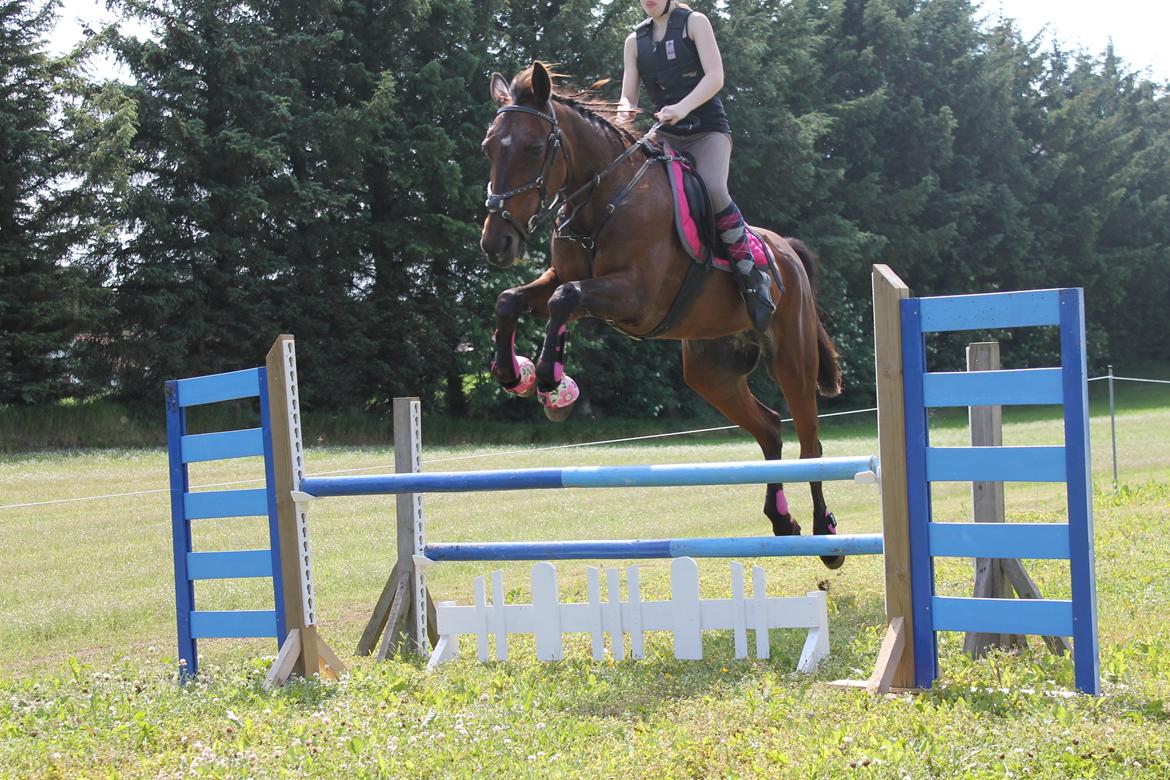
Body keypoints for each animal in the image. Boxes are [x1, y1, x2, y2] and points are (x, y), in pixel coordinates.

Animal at [479, 62, 847, 568]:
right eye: (489, 148)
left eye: (535, 148)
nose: (497, 243)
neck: (605, 197)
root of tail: (786, 251)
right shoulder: (562, 277)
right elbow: (513, 299)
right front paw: (515, 374)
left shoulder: (637, 297)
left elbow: (564, 299)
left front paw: (553, 382)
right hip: (711, 372)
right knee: (771, 428)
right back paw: (782, 520)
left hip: (793, 357)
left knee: (811, 442)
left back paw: (825, 535)